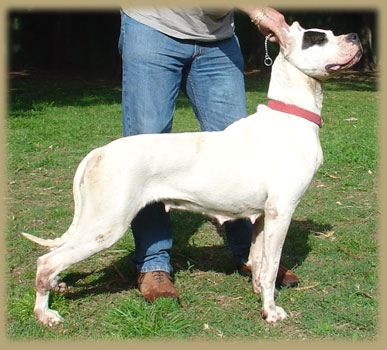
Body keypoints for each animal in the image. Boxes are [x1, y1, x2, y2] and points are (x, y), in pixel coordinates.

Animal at [22, 23, 362, 326]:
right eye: (317, 38)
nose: (355, 36)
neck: (291, 115)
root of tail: (99, 152)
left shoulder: (263, 216)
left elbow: (258, 261)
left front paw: (259, 293)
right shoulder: (282, 210)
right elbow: (270, 266)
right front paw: (271, 311)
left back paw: (57, 287)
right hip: (105, 226)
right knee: (46, 261)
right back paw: (45, 314)